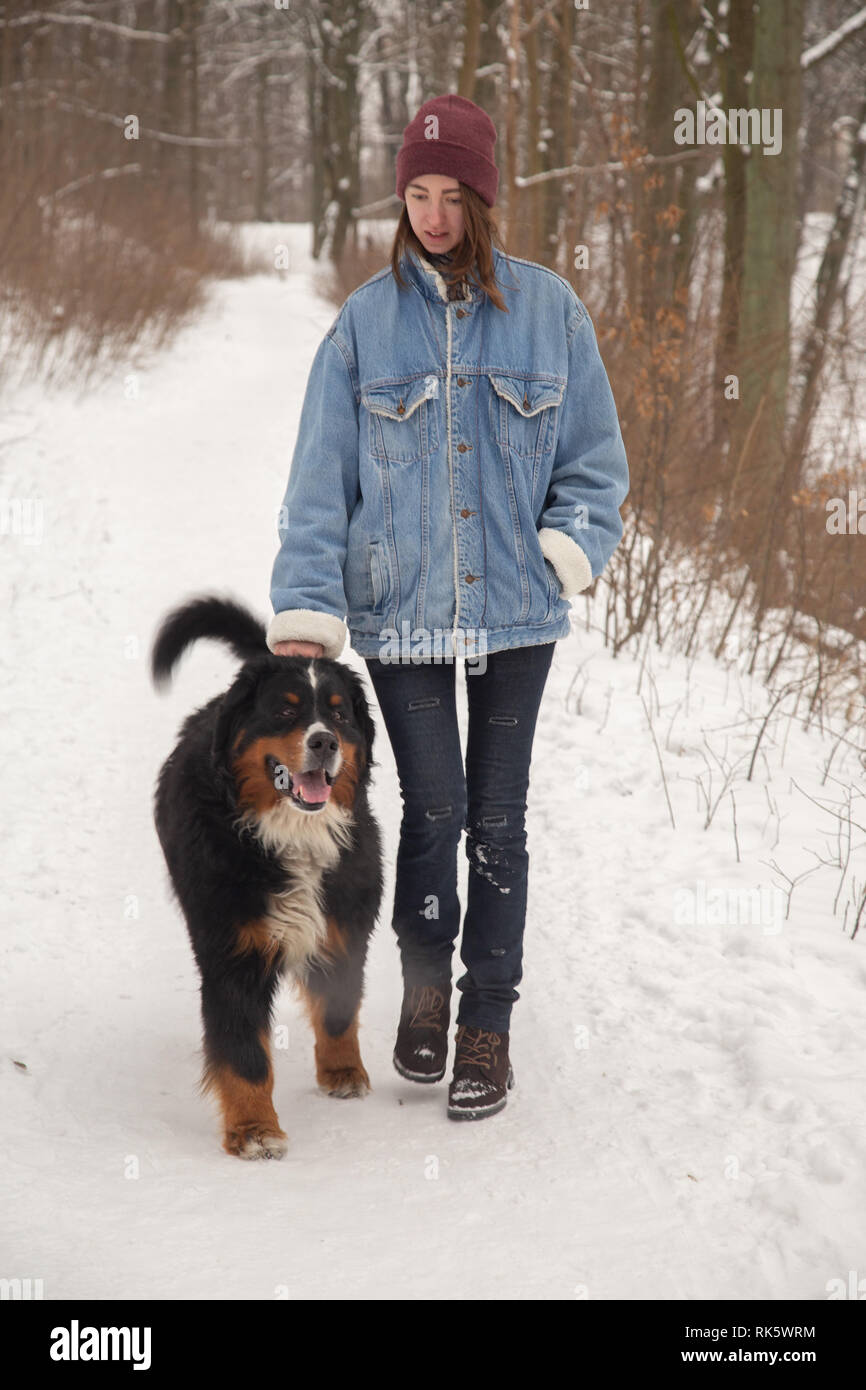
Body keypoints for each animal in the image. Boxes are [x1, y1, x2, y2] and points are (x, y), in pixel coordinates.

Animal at [150, 597, 383, 1162]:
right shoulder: (232, 953)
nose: (324, 742)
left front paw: (343, 1072)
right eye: (285, 711)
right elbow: (243, 1055)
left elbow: (339, 1009)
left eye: (339, 713)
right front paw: (254, 1130)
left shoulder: (345, 927)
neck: (293, 836)